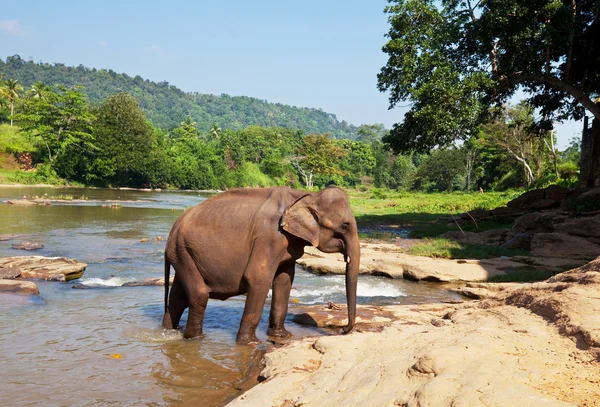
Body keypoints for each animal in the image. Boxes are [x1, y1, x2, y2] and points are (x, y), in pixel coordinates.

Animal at [161, 187, 360, 344]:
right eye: (345, 226)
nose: (342, 330)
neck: (303, 196)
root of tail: (174, 226)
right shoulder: (269, 237)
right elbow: (258, 278)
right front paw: (250, 343)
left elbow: (284, 280)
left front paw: (283, 336)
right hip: (182, 250)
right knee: (199, 295)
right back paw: (194, 338)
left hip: (182, 253)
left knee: (178, 297)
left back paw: (168, 331)